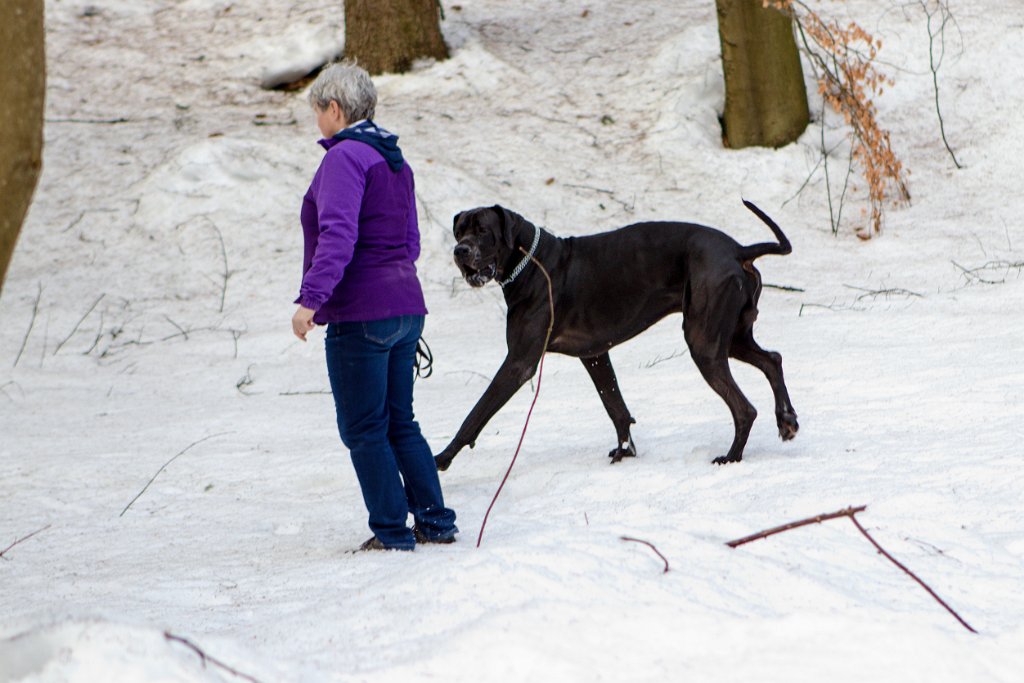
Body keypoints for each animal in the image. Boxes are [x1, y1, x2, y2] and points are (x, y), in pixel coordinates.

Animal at [436, 200, 794, 473]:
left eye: (483, 231)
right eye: (459, 231)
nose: (459, 250)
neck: (531, 264)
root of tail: (738, 249)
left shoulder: (518, 363)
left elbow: (475, 414)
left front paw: (441, 458)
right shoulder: (594, 355)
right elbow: (615, 406)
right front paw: (625, 451)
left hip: (704, 340)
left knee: (744, 408)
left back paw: (732, 457)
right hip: (732, 337)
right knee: (773, 359)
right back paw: (786, 420)